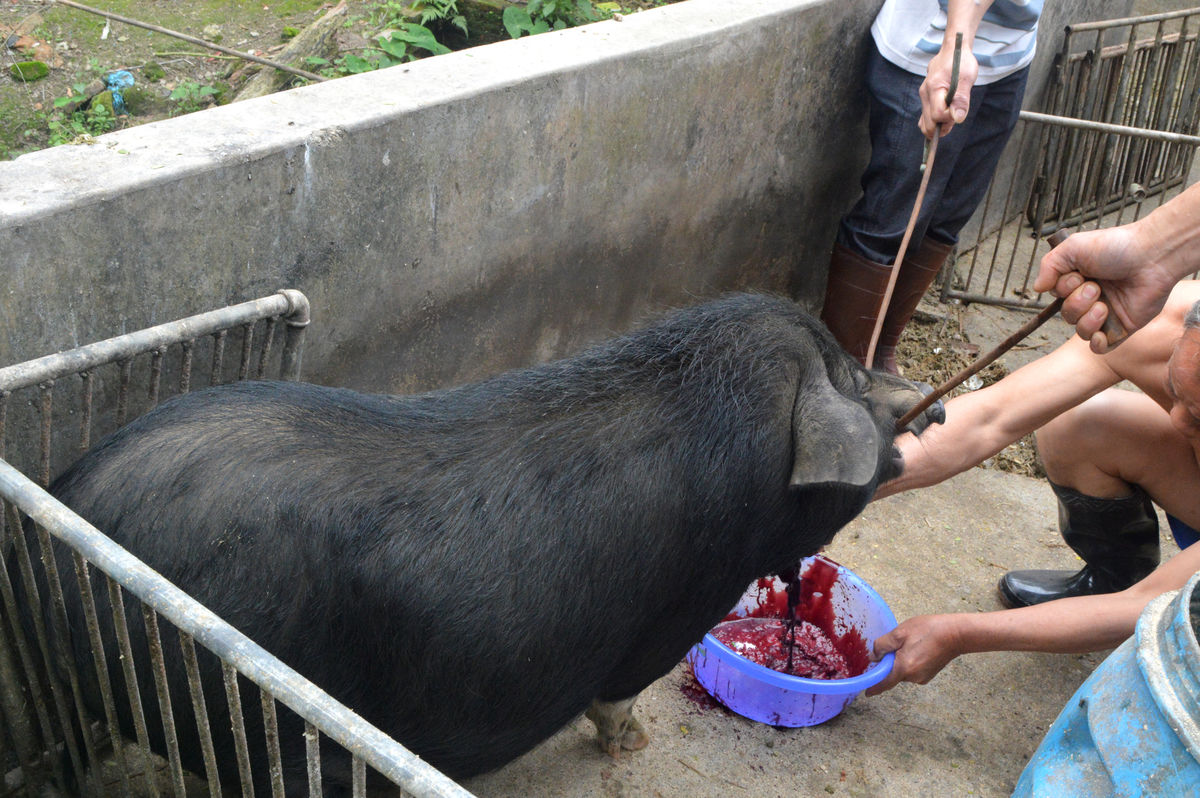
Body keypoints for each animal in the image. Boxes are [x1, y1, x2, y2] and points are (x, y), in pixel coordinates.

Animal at [42, 291, 940, 792]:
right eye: (850, 379)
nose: (924, 401)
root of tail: (73, 509)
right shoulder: (679, 609)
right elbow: (620, 691)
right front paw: (634, 745)